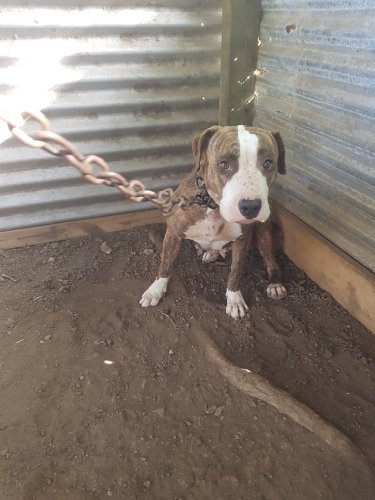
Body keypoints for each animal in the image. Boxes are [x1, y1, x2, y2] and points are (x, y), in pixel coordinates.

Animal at [140, 126, 288, 320]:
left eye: (268, 163)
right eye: (224, 164)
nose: (250, 206)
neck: (213, 206)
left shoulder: (242, 240)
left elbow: (235, 272)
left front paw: (234, 300)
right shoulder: (173, 233)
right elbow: (165, 264)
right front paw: (155, 290)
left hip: (264, 236)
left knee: (272, 262)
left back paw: (275, 284)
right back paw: (211, 253)